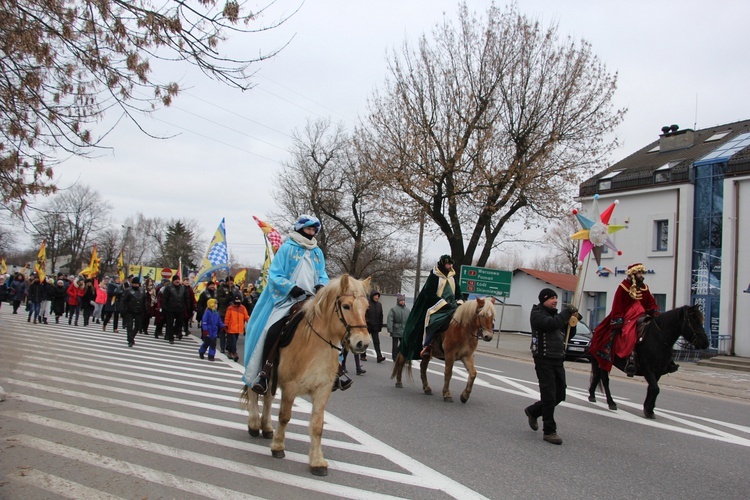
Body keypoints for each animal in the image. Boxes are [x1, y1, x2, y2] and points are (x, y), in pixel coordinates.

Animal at [239, 276, 372, 474]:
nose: (362, 343)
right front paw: (278, 447)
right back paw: (254, 425)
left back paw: (267, 427)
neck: (316, 344)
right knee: (254, 391)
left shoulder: (323, 389)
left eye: (366, 308)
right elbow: (284, 417)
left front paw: (317, 461)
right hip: (255, 367)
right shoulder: (290, 387)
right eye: (347, 306)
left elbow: (317, 425)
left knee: (269, 399)